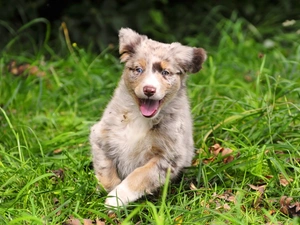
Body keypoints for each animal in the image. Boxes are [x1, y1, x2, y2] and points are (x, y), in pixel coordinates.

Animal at [89, 28, 206, 207]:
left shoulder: (167, 157)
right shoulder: (101, 136)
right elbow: (105, 169)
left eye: (165, 72)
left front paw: (116, 199)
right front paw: (108, 192)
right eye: (138, 70)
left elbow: (140, 176)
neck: (139, 118)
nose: (149, 90)